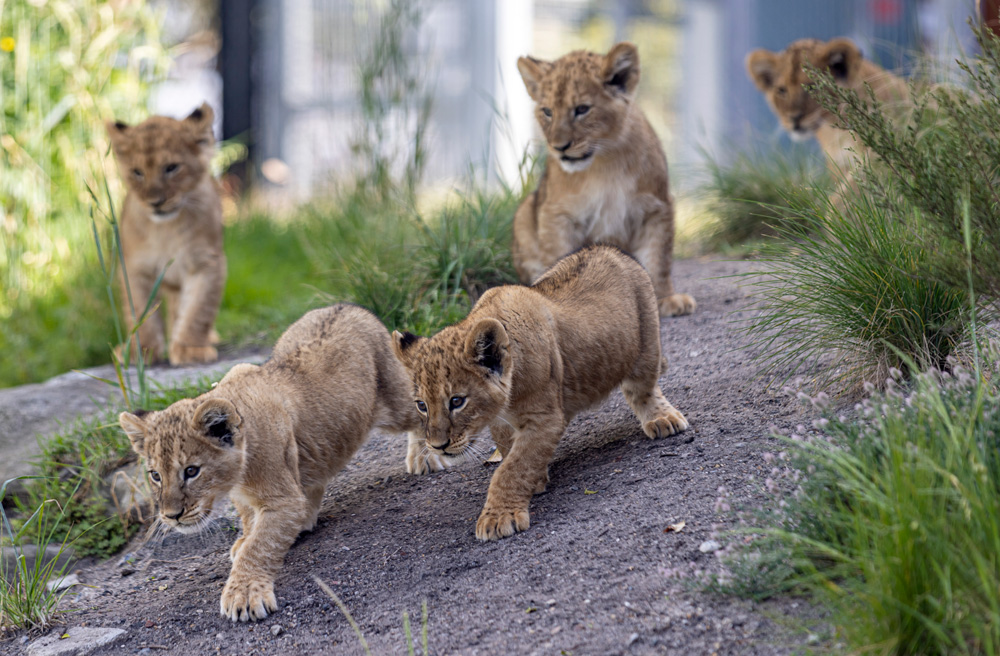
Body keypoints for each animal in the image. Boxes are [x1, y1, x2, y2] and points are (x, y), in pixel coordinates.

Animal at [107, 103, 226, 365]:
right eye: (137, 172)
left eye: (171, 168)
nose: (155, 203)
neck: (166, 230)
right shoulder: (135, 268)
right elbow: (140, 312)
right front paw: (140, 351)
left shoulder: (206, 263)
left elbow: (198, 310)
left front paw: (191, 349)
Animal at [118, 304, 420, 621]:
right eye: (155, 475)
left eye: (191, 471)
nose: (171, 516)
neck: (237, 475)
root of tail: (347, 306)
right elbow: (249, 520)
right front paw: (245, 539)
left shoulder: (283, 499)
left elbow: (260, 546)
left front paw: (244, 593)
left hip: (396, 401)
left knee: (421, 406)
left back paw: (427, 453)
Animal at [392, 245, 690, 541]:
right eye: (421, 405)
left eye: (456, 401)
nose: (437, 446)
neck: (508, 399)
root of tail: (609, 249)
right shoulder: (502, 422)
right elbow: (510, 451)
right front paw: (534, 481)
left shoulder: (545, 418)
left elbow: (512, 468)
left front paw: (499, 517)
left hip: (646, 343)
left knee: (642, 390)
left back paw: (662, 419)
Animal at [512, 43, 695, 318]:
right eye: (547, 112)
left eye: (582, 109)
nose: (559, 147)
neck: (604, 163)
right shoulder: (556, 214)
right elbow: (559, 258)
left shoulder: (657, 207)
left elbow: (658, 258)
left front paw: (666, 300)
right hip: (526, 211)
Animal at [746, 37, 910, 174]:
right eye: (782, 90)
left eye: (811, 87)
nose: (794, 118)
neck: (834, 131)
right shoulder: (838, 165)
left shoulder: (879, 155)